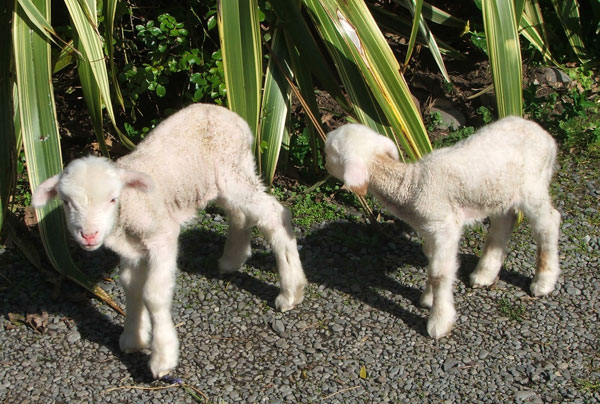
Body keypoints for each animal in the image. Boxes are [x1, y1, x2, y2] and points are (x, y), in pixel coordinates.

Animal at [31, 102, 308, 378]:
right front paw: (133, 338)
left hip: (233, 170)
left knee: (274, 215)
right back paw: (232, 260)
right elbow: (130, 286)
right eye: (66, 202)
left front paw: (162, 357)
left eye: (112, 199)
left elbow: (153, 294)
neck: (129, 206)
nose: (89, 235)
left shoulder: (162, 237)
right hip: (232, 172)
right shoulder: (132, 248)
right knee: (239, 212)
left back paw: (291, 292)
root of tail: (230, 115)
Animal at [326, 117, 560, 338]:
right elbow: (431, 261)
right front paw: (428, 299)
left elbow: (439, 272)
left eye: (333, 150)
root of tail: (546, 136)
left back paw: (543, 281)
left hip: (533, 185)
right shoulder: (431, 229)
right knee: (502, 223)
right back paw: (484, 274)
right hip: (499, 192)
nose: (323, 155)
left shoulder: (445, 228)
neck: (411, 186)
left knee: (548, 223)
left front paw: (438, 322)